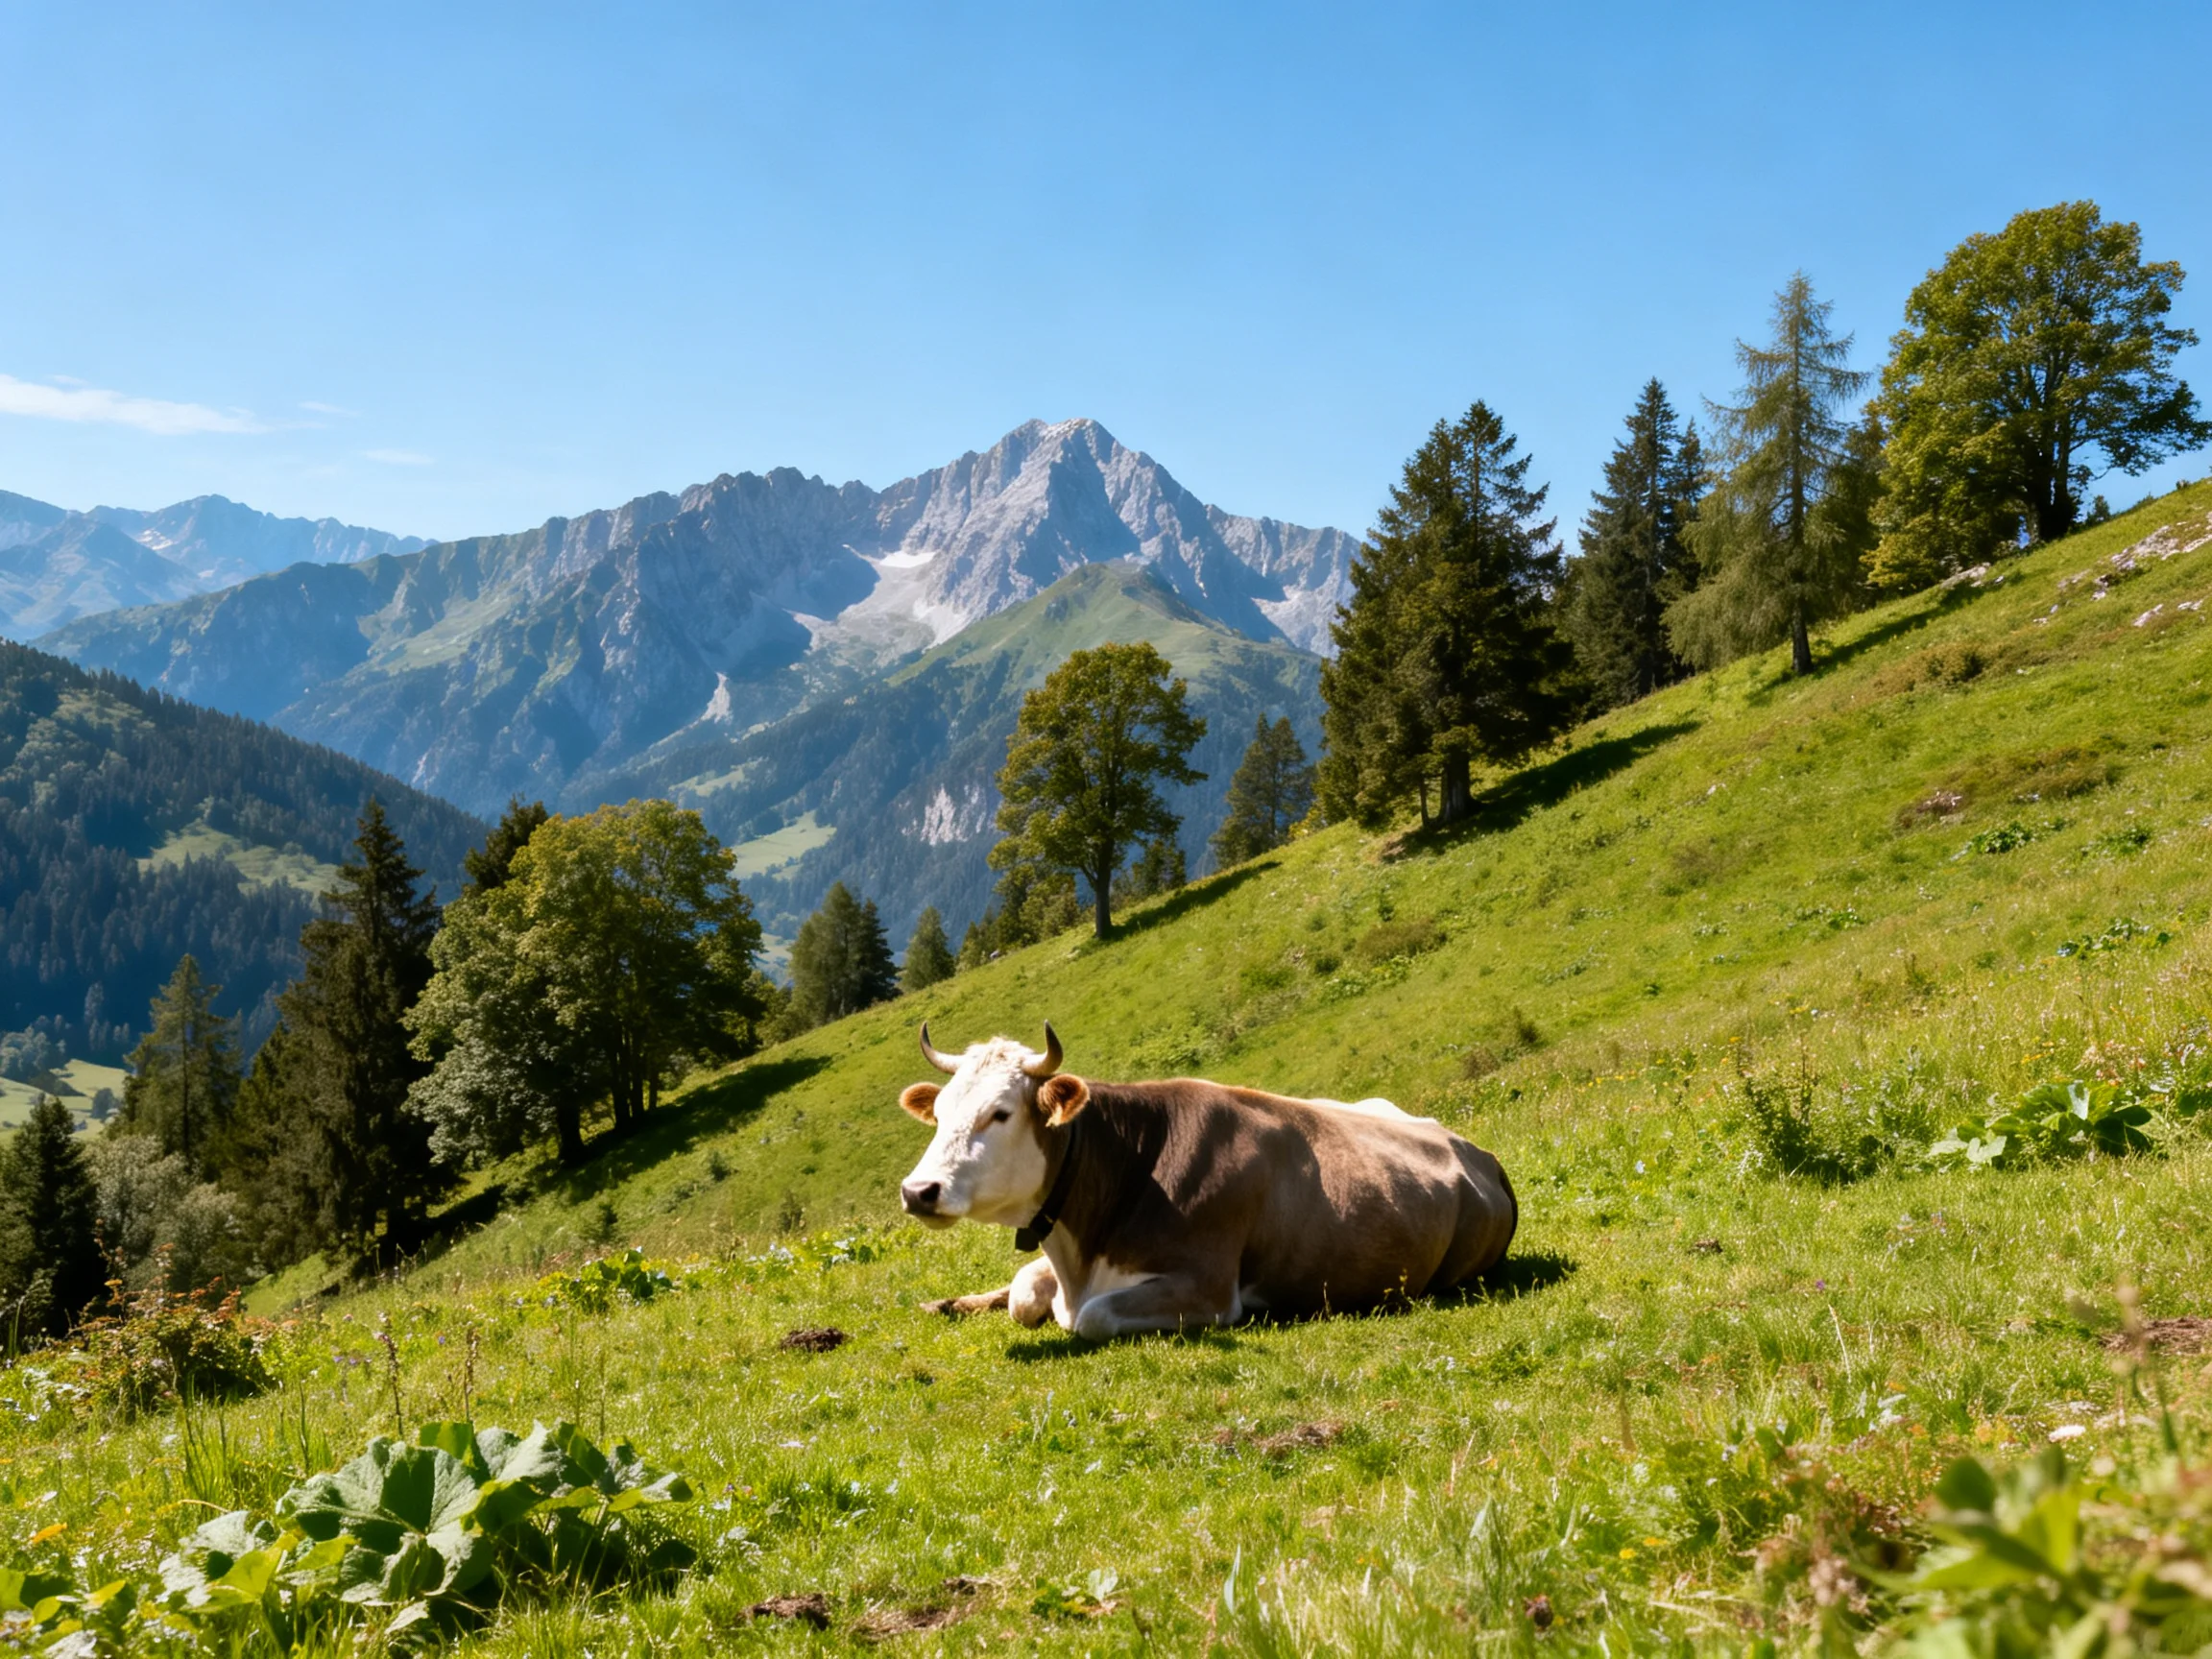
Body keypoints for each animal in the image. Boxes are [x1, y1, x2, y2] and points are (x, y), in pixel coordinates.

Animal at [894, 1022, 1517, 1338]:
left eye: (1000, 1113)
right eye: (941, 1110)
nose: (917, 1191)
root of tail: (1477, 1153)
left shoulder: (1208, 1286)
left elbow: (1091, 1317)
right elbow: (1025, 1294)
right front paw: (964, 1301)